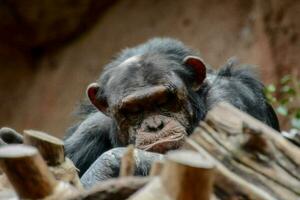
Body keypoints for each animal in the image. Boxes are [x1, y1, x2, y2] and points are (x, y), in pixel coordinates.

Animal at [0, 38, 278, 189]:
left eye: (164, 100)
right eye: (133, 110)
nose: (154, 125)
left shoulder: (229, 99)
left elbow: (230, 168)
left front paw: (103, 167)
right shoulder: (91, 128)